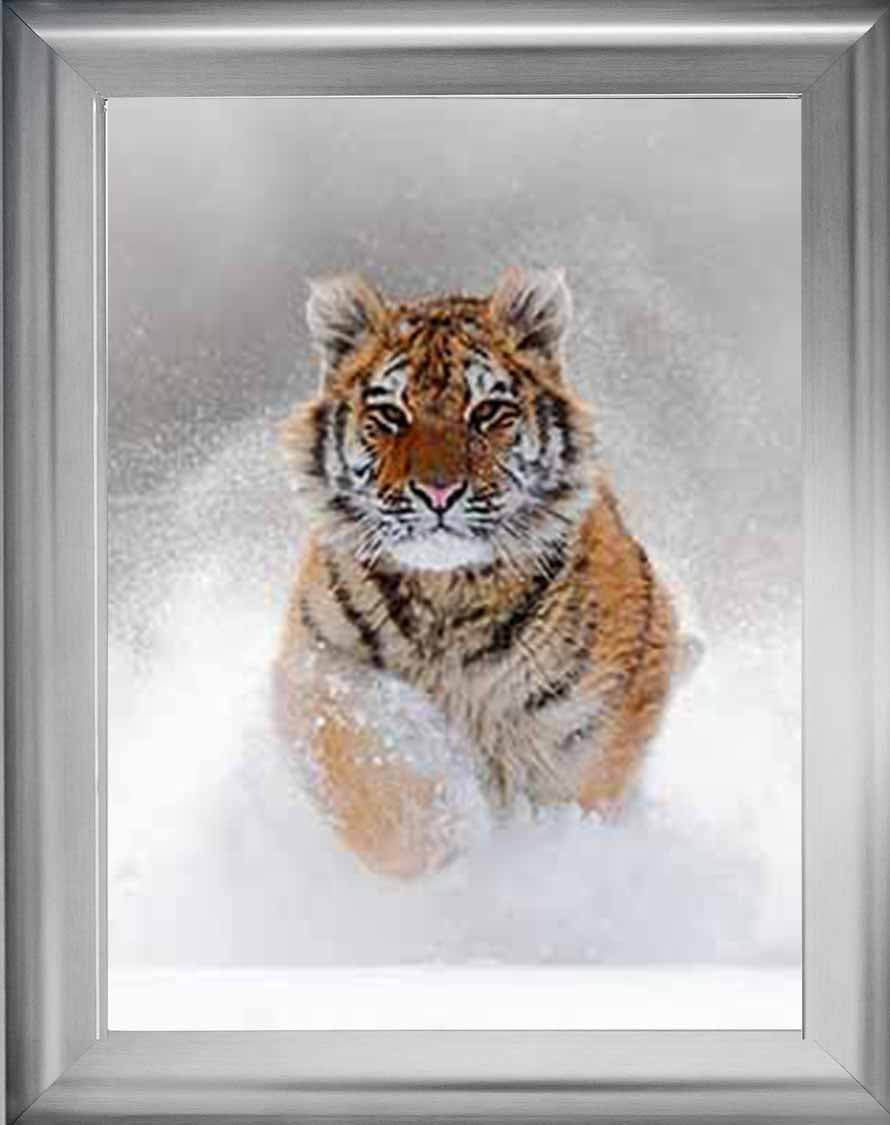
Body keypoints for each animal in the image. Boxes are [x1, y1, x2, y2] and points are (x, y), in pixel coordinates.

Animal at [275, 267, 684, 878]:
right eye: (391, 416)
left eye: (487, 412)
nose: (438, 492)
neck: (447, 594)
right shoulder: (316, 666)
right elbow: (371, 767)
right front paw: (444, 844)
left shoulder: (602, 711)